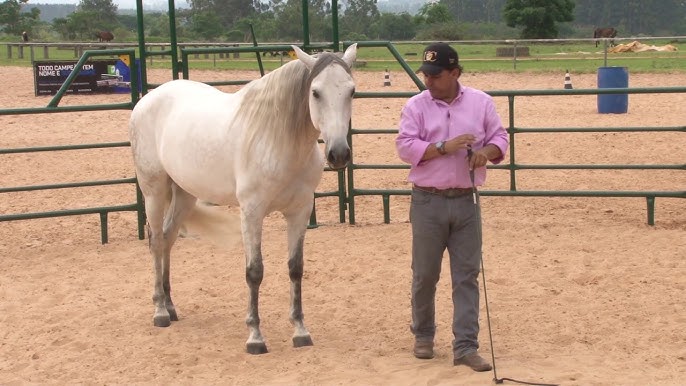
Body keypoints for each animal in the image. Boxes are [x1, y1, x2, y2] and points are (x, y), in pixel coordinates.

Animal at [129, 43, 360, 352]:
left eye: (351, 91)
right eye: (316, 92)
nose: (338, 154)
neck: (277, 141)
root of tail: (147, 100)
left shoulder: (299, 212)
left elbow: (295, 268)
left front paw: (300, 331)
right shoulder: (251, 212)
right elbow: (254, 271)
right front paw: (255, 336)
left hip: (185, 195)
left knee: (167, 240)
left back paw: (170, 305)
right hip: (153, 191)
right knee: (155, 242)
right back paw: (160, 312)